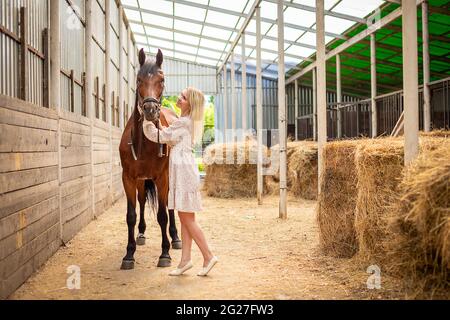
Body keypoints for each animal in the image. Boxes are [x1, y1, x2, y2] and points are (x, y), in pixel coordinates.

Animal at [119, 48, 183, 270]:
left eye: (161, 80)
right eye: (138, 79)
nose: (150, 110)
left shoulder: (162, 178)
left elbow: (162, 215)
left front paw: (165, 253)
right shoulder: (129, 179)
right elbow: (131, 215)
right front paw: (129, 254)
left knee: (170, 206)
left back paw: (176, 238)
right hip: (141, 181)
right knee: (142, 201)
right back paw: (141, 234)